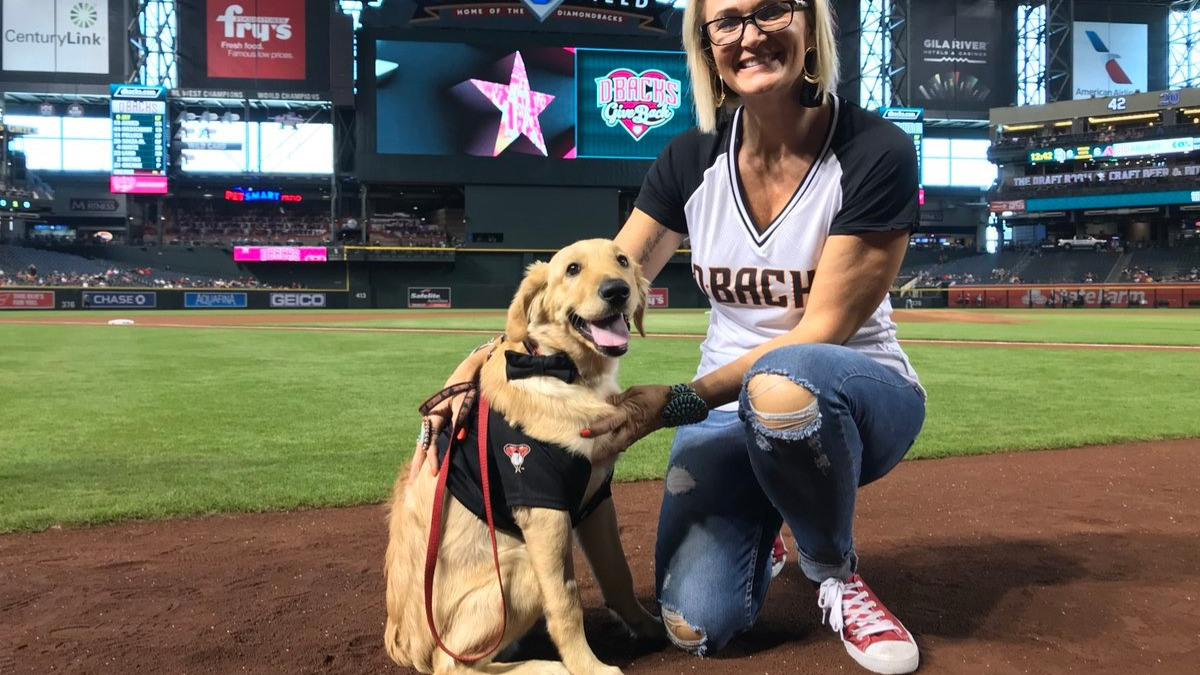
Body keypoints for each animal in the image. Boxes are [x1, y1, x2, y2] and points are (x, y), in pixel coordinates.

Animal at [386, 237, 662, 672]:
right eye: (572, 269)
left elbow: (618, 575)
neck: (562, 369)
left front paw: (651, 628)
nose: (617, 290)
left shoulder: (596, 498)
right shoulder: (543, 508)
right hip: (521, 565)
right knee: (454, 665)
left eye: (621, 260)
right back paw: (549, 666)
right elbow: (566, 601)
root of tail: (402, 645)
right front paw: (587, 665)